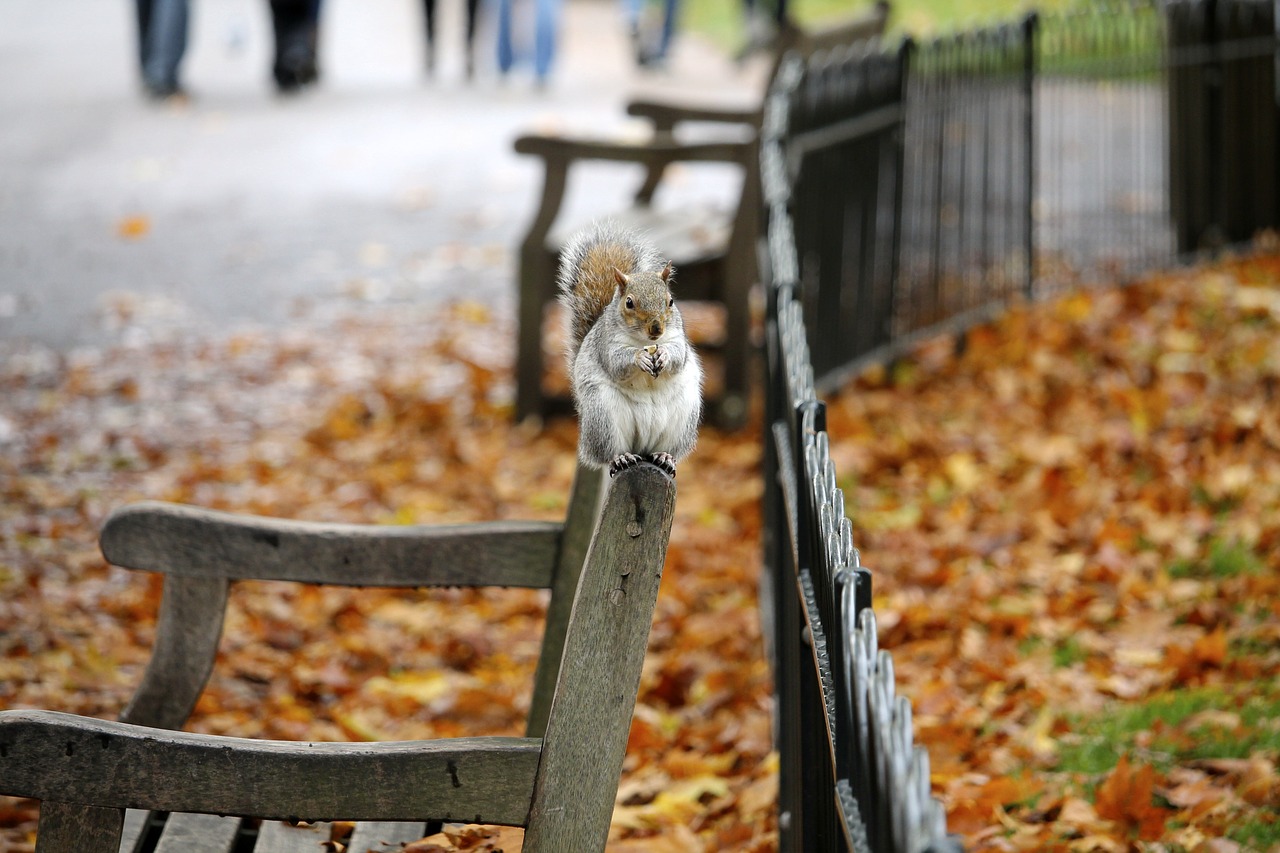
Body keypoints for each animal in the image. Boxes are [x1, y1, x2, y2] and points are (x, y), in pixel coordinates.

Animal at [558, 220, 706, 479]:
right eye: (629, 302)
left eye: (670, 301)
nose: (656, 328)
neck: (643, 341)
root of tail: (642, 447)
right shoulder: (606, 344)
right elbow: (617, 363)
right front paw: (639, 358)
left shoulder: (678, 339)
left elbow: (678, 357)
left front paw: (664, 355)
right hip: (602, 416)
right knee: (608, 453)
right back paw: (621, 458)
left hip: (684, 417)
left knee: (669, 449)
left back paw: (665, 456)